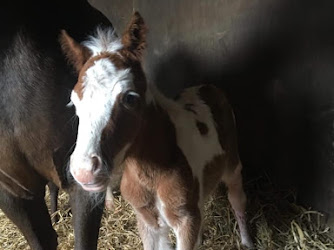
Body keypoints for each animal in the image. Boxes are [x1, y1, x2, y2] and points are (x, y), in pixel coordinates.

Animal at [60, 11, 253, 248]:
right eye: (74, 102)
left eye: (129, 98)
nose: (84, 171)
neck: (150, 174)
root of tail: (207, 87)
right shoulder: (147, 220)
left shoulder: (185, 220)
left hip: (232, 165)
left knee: (237, 199)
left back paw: (247, 242)